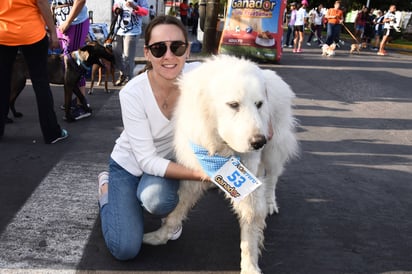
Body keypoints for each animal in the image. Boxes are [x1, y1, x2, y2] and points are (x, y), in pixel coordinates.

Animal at [143, 55, 298, 274]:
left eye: (259, 104)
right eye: (233, 104)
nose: (259, 142)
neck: (218, 147)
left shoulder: (247, 184)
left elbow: (250, 230)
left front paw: (250, 266)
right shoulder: (192, 172)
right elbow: (176, 211)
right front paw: (159, 236)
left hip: (274, 150)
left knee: (272, 178)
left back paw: (269, 203)